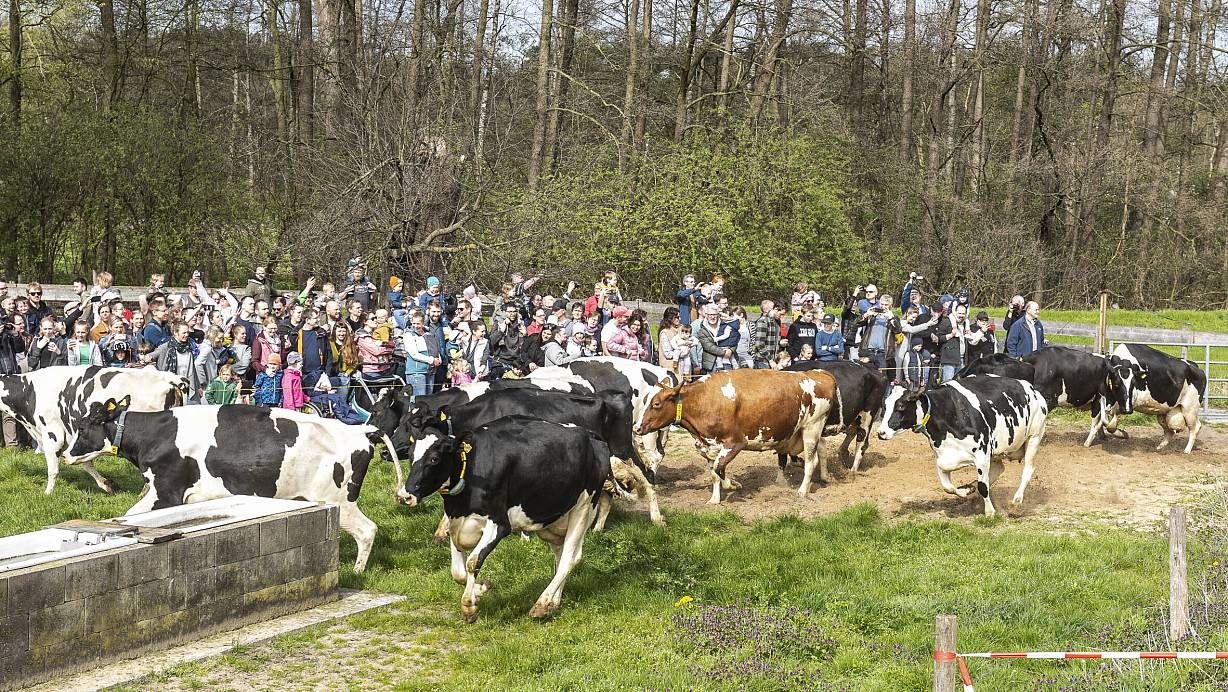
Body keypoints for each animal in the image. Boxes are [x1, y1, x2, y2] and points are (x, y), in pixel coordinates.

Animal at [0, 365, 188, 495]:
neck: (30, 390)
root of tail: (170, 379)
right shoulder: (76, 437)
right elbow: (85, 463)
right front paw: (108, 485)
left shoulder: (52, 434)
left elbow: (53, 469)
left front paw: (48, 493)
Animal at [66, 397, 400, 572]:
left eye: (83, 426)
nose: (66, 453)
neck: (156, 434)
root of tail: (361, 430)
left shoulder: (167, 491)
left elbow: (131, 515)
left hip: (338, 500)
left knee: (367, 530)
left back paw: (356, 571)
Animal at [395, 415, 610, 622]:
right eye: (411, 456)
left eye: (434, 459)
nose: (405, 496)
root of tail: (591, 435)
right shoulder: (456, 523)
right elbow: (458, 572)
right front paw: (480, 588)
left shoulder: (499, 524)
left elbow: (473, 562)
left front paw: (469, 606)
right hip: (553, 519)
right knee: (561, 555)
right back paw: (553, 604)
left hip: (584, 508)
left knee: (569, 559)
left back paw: (541, 604)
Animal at [635, 369, 837, 504]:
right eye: (645, 401)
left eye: (656, 404)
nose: (637, 428)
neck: (702, 399)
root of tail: (820, 374)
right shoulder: (710, 446)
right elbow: (714, 473)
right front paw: (715, 499)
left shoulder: (735, 443)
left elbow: (719, 469)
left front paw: (734, 485)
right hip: (808, 432)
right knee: (820, 451)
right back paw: (824, 477)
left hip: (812, 428)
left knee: (810, 461)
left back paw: (802, 491)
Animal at [876, 376, 1049, 517]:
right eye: (884, 406)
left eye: (901, 406)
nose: (881, 432)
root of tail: (1032, 389)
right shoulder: (942, 457)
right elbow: (947, 486)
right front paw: (966, 490)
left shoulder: (982, 453)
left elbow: (983, 486)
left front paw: (990, 512)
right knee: (998, 469)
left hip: (1034, 437)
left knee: (1027, 470)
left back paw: (1016, 502)